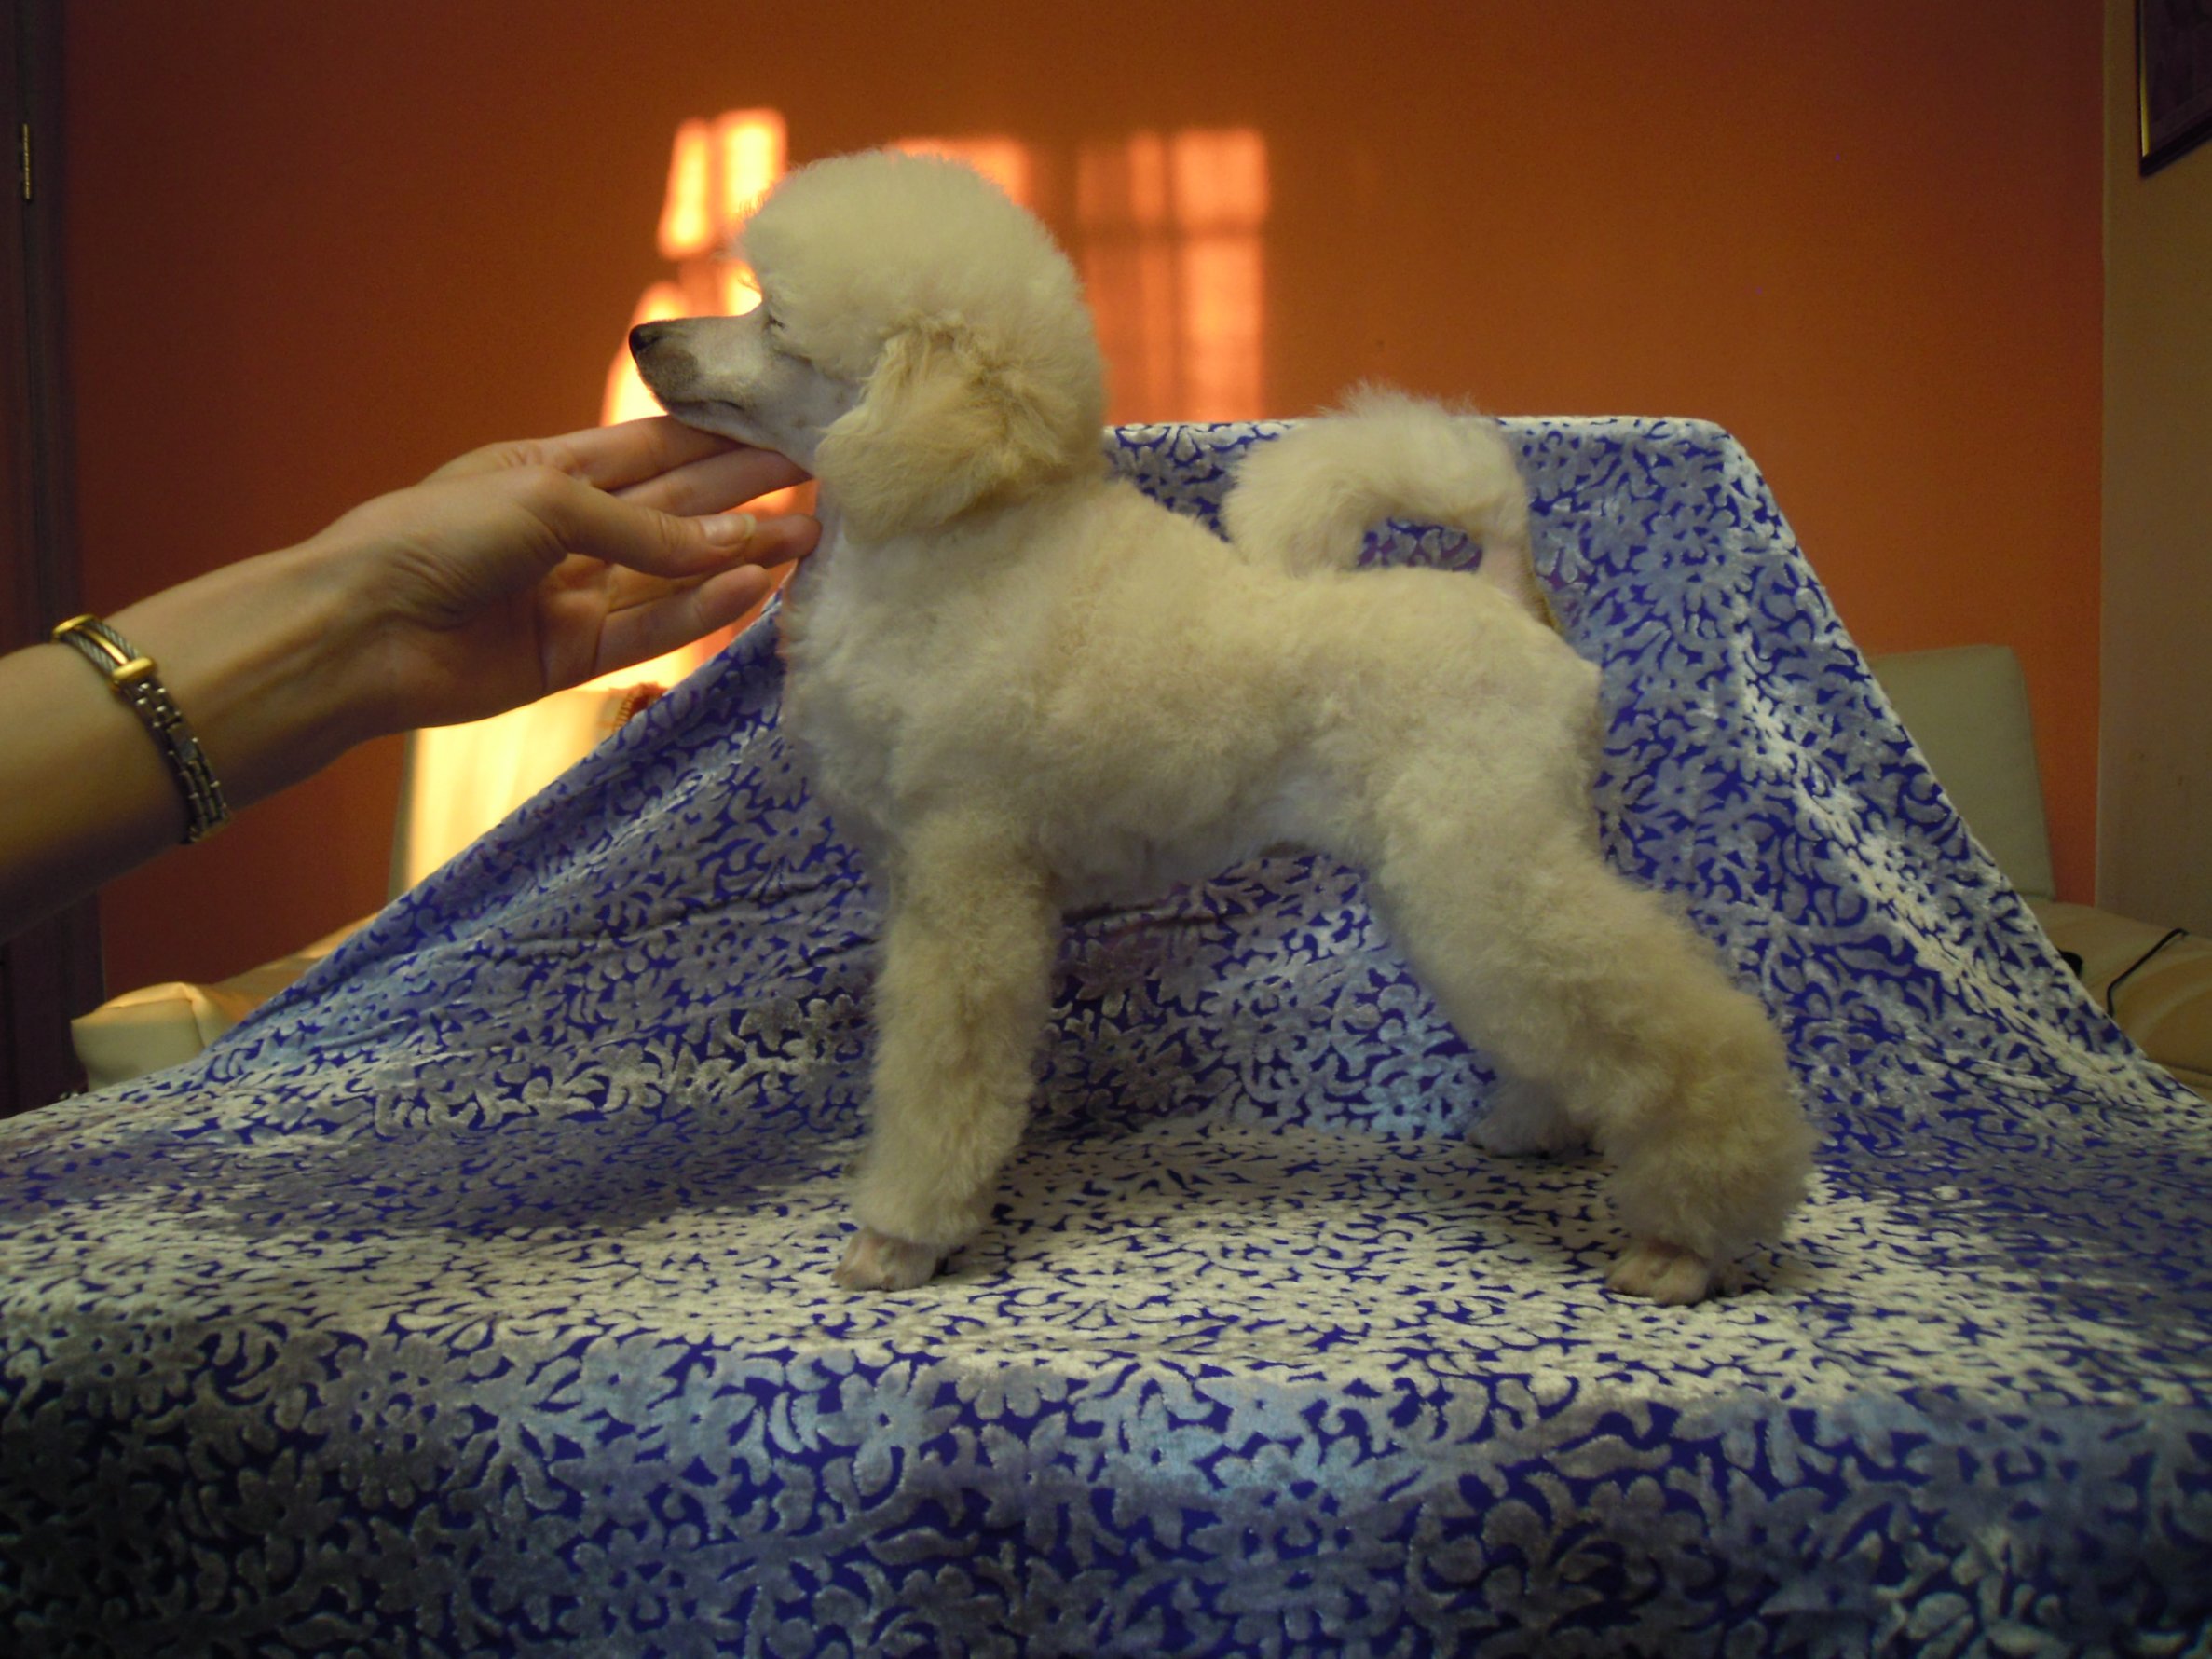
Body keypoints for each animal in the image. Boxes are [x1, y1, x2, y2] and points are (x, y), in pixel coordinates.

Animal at [631, 150, 1815, 1304]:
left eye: (773, 320)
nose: (645, 336)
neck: (952, 535)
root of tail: (1507, 593)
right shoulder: (923, 877)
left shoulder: (965, 879)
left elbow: (942, 1074)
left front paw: (901, 1239)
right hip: (1456, 865)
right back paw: (1535, 1128)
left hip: (1481, 859)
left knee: (1679, 1031)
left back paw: (1690, 1239)